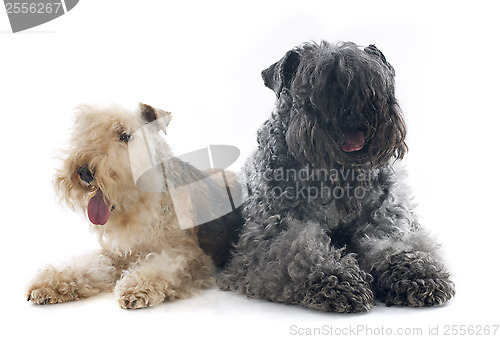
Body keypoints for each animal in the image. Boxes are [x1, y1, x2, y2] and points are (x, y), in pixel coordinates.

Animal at [217, 41, 456, 314]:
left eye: (373, 79)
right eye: (314, 81)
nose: (354, 108)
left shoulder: (386, 223)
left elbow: (396, 245)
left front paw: (417, 272)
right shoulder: (270, 235)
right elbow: (300, 250)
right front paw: (337, 278)